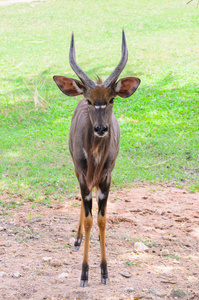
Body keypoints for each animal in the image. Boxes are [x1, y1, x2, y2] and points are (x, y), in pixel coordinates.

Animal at [52, 29, 140, 286]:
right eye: (90, 100)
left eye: (111, 99)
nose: (101, 128)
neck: (96, 158)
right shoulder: (83, 174)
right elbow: (90, 218)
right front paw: (84, 273)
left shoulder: (107, 176)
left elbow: (101, 220)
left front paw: (104, 272)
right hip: (77, 171)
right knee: (83, 206)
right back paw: (77, 239)